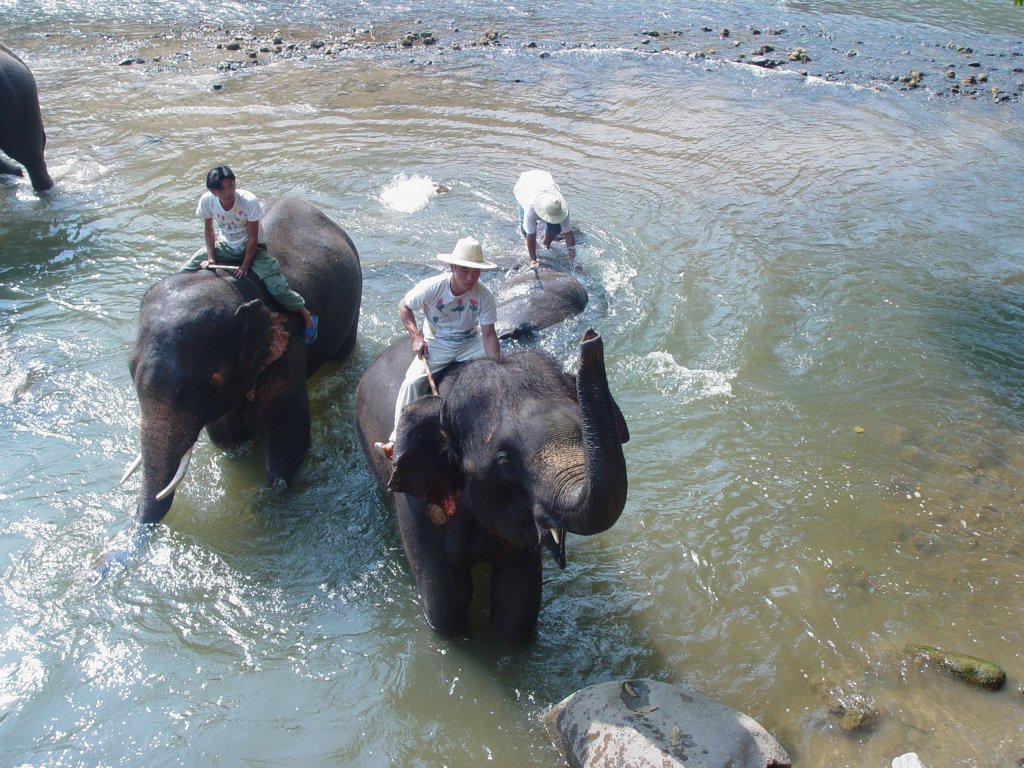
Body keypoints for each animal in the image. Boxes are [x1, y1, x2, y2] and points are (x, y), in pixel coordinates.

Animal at [96, 198, 360, 577]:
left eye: (196, 386)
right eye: (130, 373)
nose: (101, 564)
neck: (231, 287)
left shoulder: (285, 352)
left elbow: (287, 445)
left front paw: (253, 508)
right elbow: (226, 439)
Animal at [358, 331, 630, 638]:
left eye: (583, 435)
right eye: (504, 459)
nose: (591, 338)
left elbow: (517, 601)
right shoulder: (420, 509)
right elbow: (447, 607)